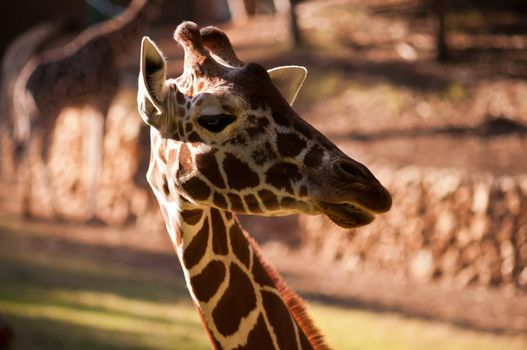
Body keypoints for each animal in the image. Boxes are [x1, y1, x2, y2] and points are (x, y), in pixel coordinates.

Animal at [11, 0, 163, 221]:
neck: (119, 46)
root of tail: (21, 88)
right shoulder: (104, 98)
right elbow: (97, 150)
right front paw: (94, 213)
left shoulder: (87, 106)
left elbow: (88, 150)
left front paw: (91, 209)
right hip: (48, 113)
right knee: (38, 150)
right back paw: (51, 209)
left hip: (27, 115)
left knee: (20, 148)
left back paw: (26, 206)